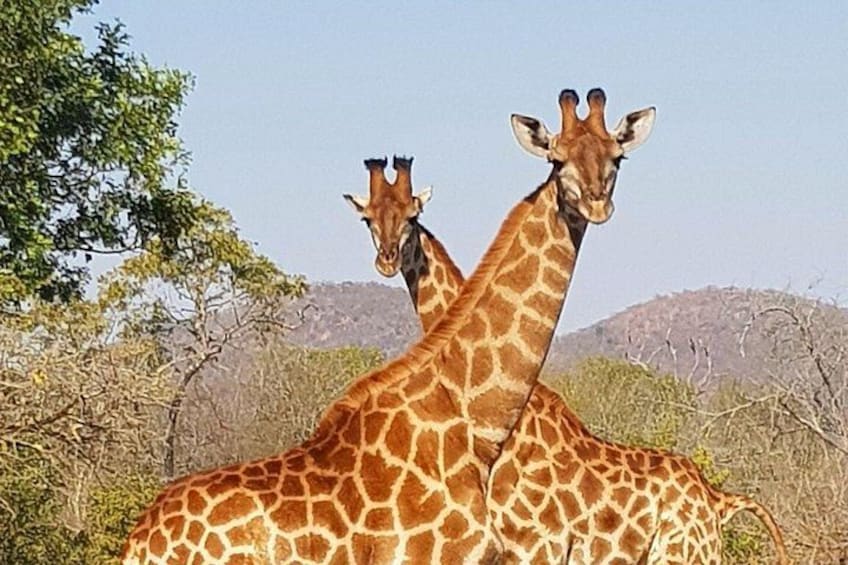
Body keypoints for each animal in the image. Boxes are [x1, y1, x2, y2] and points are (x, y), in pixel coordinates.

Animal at [345, 92, 788, 564]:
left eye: (412, 216)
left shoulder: (536, 545)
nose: (387, 259)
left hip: (685, 554)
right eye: (368, 219)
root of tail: (717, 500)